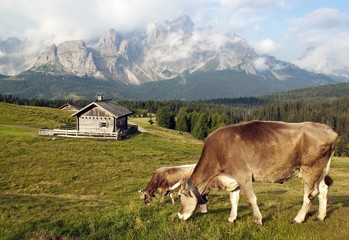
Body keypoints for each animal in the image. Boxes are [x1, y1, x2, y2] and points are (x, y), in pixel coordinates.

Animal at [177, 120, 338, 225]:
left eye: (180, 196)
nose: (179, 215)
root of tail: (329, 130)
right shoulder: (234, 179)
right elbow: (233, 199)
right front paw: (232, 218)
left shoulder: (243, 175)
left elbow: (250, 199)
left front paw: (258, 220)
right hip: (319, 170)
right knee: (323, 189)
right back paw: (320, 216)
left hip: (310, 169)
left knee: (310, 194)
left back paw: (298, 219)